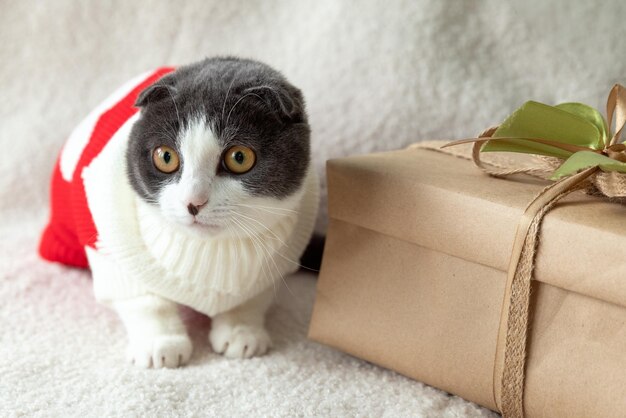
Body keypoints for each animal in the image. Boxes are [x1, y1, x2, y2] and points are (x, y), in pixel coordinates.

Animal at [39, 57, 316, 368]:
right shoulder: (108, 242)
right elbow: (145, 300)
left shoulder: (275, 262)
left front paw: (242, 331)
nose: (194, 201)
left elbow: (252, 299)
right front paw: (160, 344)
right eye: (166, 156)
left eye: (240, 157)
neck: (211, 251)